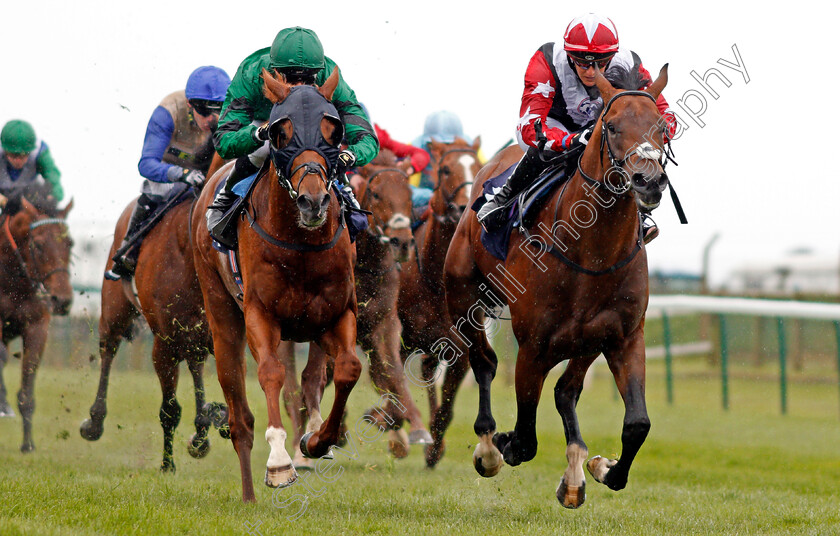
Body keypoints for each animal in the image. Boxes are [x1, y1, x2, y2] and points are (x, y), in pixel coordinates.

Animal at [0, 197, 73, 452]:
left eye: (70, 243)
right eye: (39, 245)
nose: (62, 300)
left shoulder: (37, 327)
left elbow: (27, 390)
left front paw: (27, 444)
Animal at [80, 186, 226, 472]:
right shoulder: (164, 342)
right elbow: (169, 411)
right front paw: (167, 465)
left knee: (196, 366)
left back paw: (203, 429)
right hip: (115, 309)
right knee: (108, 350)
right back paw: (94, 421)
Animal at [192, 68, 360, 502]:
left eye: (332, 129)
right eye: (281, 132)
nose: (313, 202)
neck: (300, 244)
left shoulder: (334, 315)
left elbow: (348, 368)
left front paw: (316, 441)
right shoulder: (260, 314)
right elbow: (270, 372)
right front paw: (280, 462)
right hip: (221, 315)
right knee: (239, 417)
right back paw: (250, 493)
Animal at [398, 136, 482, 466]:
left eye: (478, 165)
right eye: (445, 169)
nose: (464, 206)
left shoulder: (461, 347)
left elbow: (446, 408)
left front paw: (435, 448)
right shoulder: (406, 338)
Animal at [442, 66, 672, 506]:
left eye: (664, 127)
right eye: (611, 126)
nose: (648, 181)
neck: (592, 253)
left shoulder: (623, 336)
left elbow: (638, 423)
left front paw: (604, 468)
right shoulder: (533, 347)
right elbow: (525, 438)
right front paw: (503, 443)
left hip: (587, 341)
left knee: (566, 390)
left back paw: (575, 472)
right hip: (462, 297)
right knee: (484, 361)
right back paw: (488, 446)